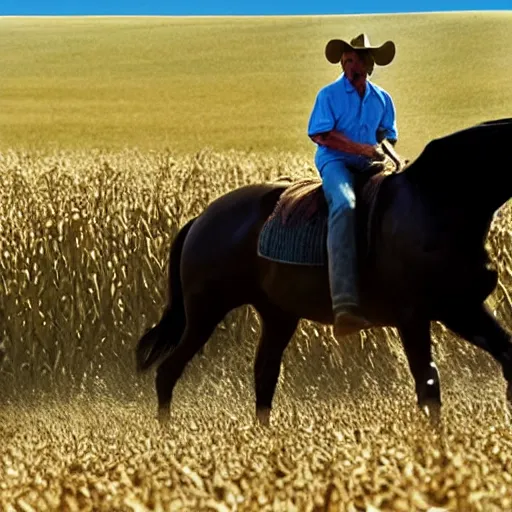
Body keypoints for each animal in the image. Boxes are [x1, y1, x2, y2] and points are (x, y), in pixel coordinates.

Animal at [137, 118, 512, 426]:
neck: (436, 201)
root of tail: (201, 219)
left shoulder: (461, 309)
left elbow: (505, 356)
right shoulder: (414, 317)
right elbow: (428, 384)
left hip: (278, 315)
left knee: (264, 375)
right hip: (205, 312)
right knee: (167, 373)